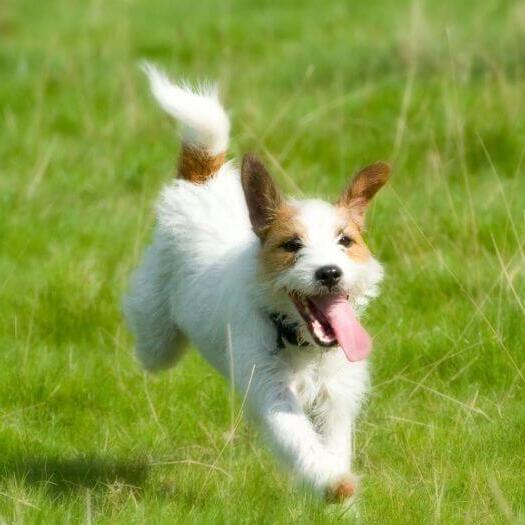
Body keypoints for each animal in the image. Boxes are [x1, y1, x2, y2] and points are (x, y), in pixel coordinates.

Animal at [124, 65, 388, 504]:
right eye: (292, 245)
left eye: (345, 241)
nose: (329, 273)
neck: (300, 341)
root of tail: (201, 179)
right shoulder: (271, 391)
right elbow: (299, 440)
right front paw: (332, 482)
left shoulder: (336, 396)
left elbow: (334, 443)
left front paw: (341, 495)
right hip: (155, 336)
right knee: (150, 342)